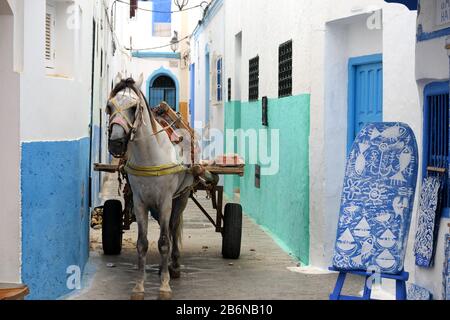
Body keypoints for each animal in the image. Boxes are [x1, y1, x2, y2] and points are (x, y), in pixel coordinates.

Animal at [108, 74, 195, 298]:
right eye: (109, 106)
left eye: (134, 107)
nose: (116, 143)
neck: (150, 155)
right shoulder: (140, 203)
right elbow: (142, 243)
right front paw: (139, 287)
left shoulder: (165, 202)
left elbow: (164, 242)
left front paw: (164, 287)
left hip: (181, 197)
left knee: (173, 226)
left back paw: (174, 265)